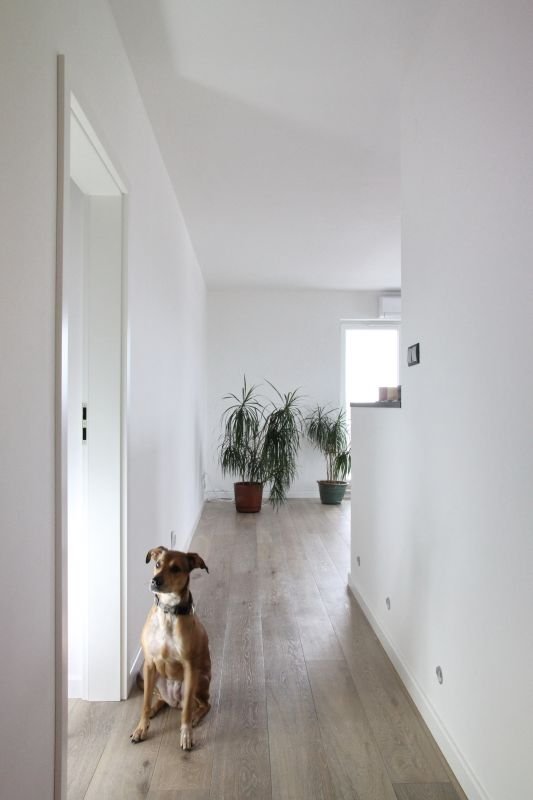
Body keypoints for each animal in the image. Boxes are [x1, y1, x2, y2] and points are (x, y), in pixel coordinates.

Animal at [130, 545, 211, 750]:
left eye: (176, 569)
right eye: (158, 564)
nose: (155, 581)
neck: (168, 613)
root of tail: (174, 701)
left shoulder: (190, 668)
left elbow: (187, 710)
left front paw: (186, 735)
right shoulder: (149, 664)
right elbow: (144, 703)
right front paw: (141, 728)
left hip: (199, 680)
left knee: (204, 704)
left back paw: (196, 717)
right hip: (155, 679)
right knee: (159, 699)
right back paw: (154, 709)